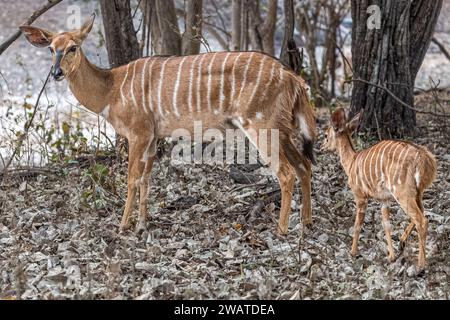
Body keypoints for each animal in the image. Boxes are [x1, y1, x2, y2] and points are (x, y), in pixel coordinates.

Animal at [19, 18, 316, 235]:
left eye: (73, 47)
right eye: (51, 48)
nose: (56, 73)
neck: (111, 91)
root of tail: (293, 78)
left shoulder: (138, 132)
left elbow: (132, 178)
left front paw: (123, 226)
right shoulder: (152, 136)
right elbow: (147, 178)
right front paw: (141, 224)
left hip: (260, 123)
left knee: (287, 172)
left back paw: (281, 230)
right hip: (281, 127)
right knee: (305, 165)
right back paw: (306, 222)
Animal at [324, 107, 436, 268]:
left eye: (326, 135)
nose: (321, 147)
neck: (351, 163)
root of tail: (425, 159)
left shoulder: (360, 196)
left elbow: (357, 224)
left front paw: (353, 252)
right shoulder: (384, 200)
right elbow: (386, 225)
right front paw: (391, 257)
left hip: (402, 192)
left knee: (422, 220)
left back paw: (421, 264)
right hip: (418, 192)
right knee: (422, 214)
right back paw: (403, 243)